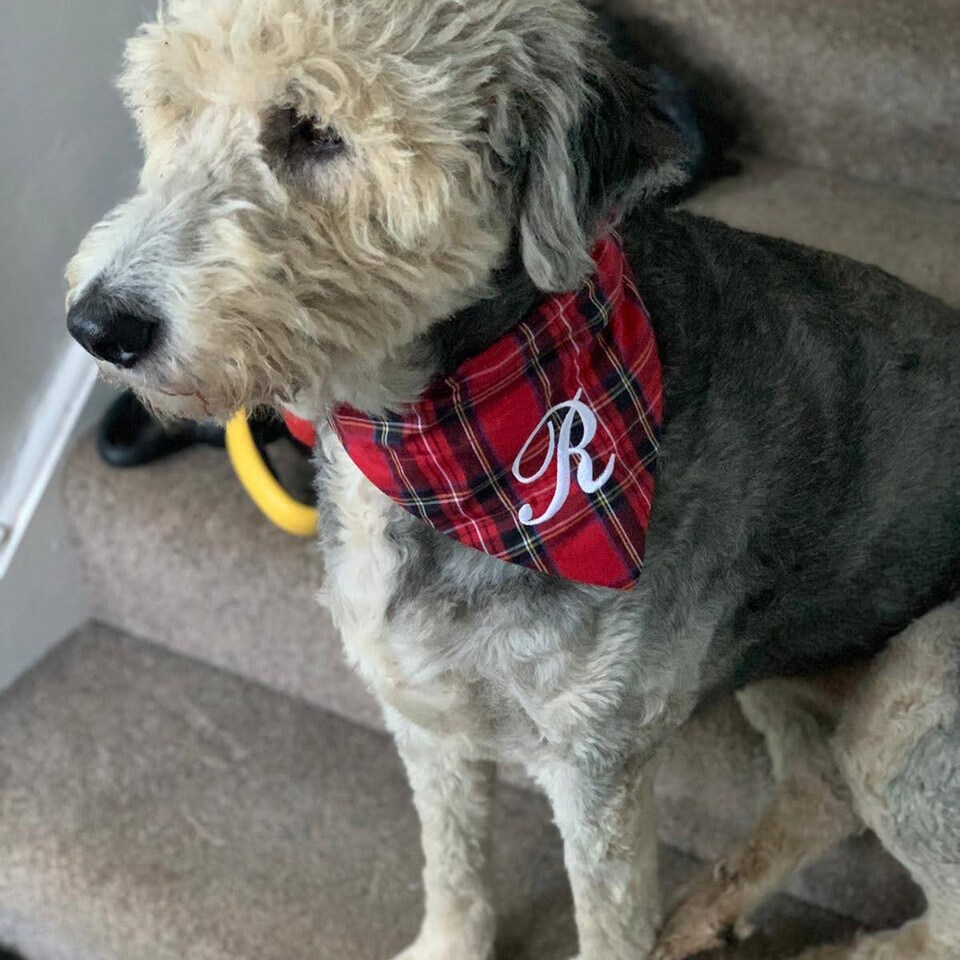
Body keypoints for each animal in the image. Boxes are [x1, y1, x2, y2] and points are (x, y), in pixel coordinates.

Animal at [67, 1, 960, 960]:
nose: (95, 326)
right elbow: (453, 866)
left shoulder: (597, 764)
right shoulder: (424, 713)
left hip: (912, 694)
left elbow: (607, 920)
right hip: (780, 663)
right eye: (171, 107)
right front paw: (449, 942)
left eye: (313, 130)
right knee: (819, 789)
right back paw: (706, 911)